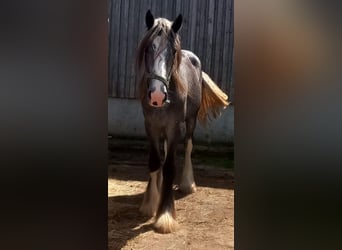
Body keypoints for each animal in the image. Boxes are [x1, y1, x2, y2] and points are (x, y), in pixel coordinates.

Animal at [136, 9, 230, 232]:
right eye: (148, 49)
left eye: (172, 52)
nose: (157, 95)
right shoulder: (151, 126)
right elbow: (155, 162)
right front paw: (151, 203)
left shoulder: (174, 127)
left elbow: (170, 166)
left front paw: (165, 215)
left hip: (190, 122)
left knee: (188, 146)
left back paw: (188, 184)